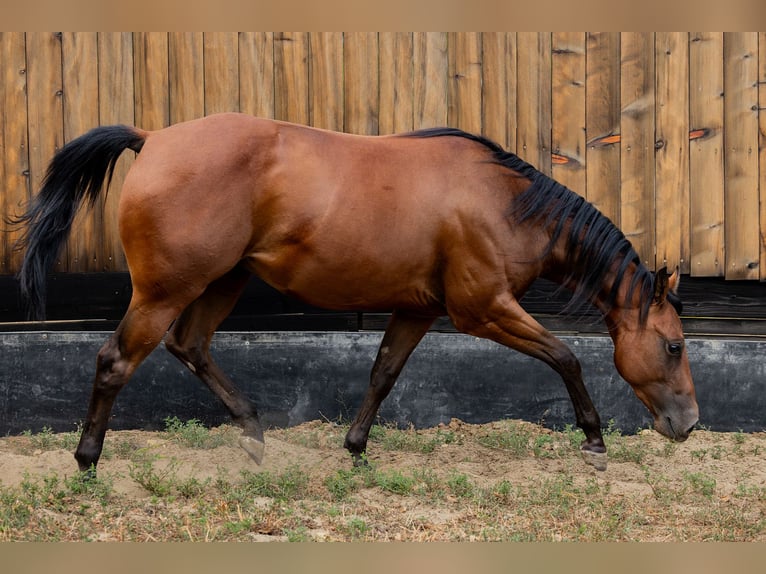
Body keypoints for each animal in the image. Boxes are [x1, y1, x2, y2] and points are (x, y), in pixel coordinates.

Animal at [12, 112, 698, 474]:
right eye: (673, 346)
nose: (688, 424)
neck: (503, 203)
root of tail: (153, 138)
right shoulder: (482, 310)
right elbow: (566, 356)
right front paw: (595, 442)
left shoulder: (418, 310)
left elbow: (383, 374)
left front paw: (356, 447)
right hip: (164, 290)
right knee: (116, 360)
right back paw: (88, 459)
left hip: (223, 280)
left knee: (192, 347)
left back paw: (254, 434)